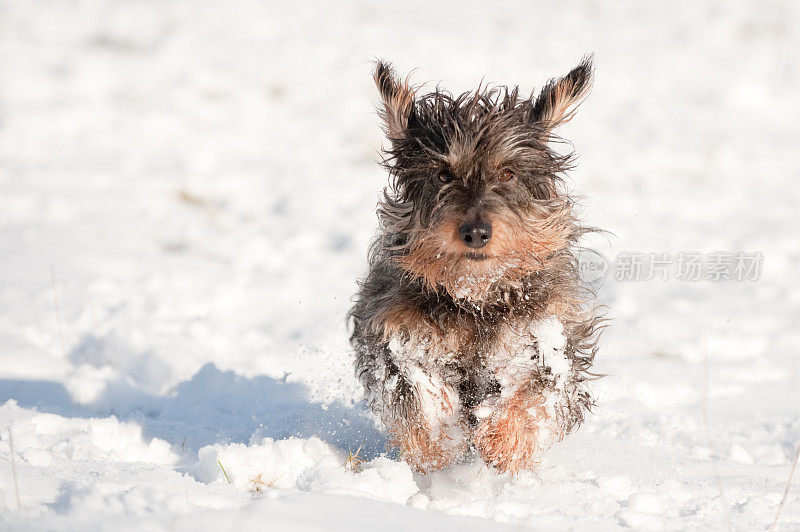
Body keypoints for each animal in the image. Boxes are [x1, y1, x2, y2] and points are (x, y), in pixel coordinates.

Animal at [346, 58, 604, 474]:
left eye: (508, 173)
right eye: (443, 173)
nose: (476, 232)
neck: (476, 298)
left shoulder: (554, 340)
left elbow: (536, 392)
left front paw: (503, 442)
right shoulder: (389, 332)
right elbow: (412, 389)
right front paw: (437, 440)